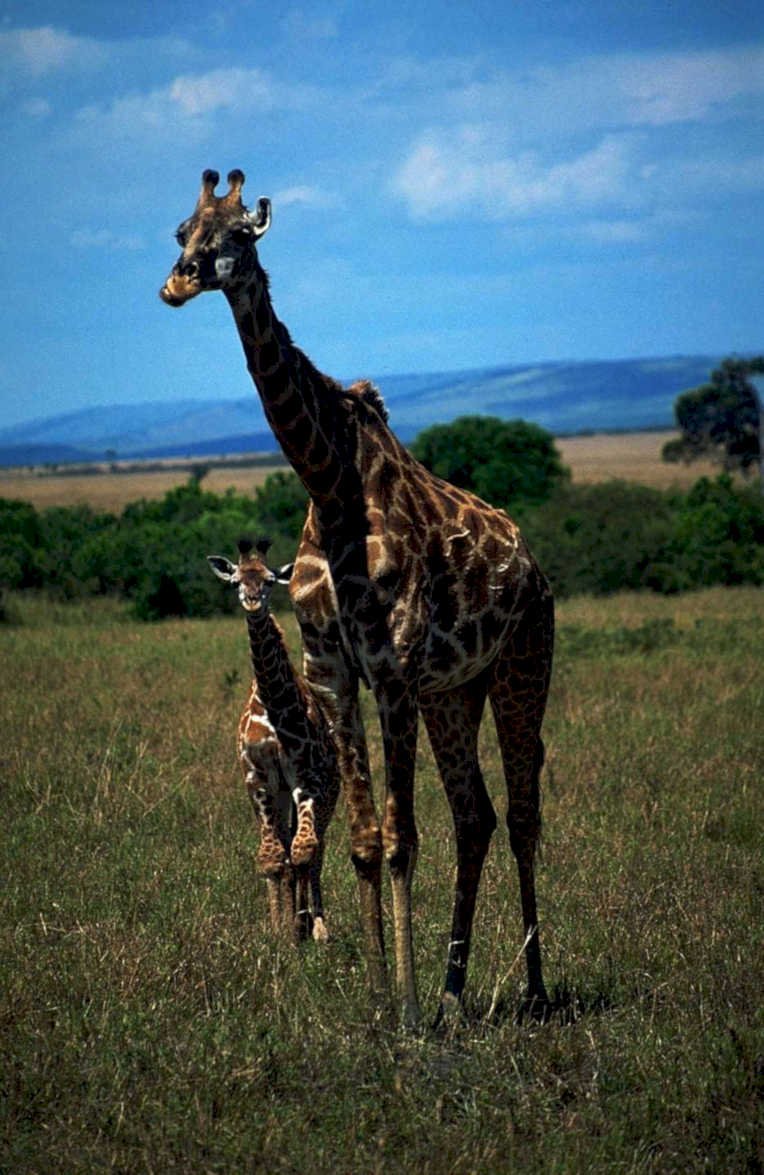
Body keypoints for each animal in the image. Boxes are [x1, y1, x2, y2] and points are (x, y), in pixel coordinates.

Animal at [208, 537, 339, 944]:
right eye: (236, 580)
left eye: (268, 581)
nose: (252, 601)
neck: (273, 703)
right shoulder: (259, 780)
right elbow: (272, 856)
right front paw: (279, 931)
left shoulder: (307, 779)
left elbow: (303, 852)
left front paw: (305, 928)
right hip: (280, 796)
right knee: (286, 843)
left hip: (329, 793)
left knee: (316, 850)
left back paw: (316, 924)